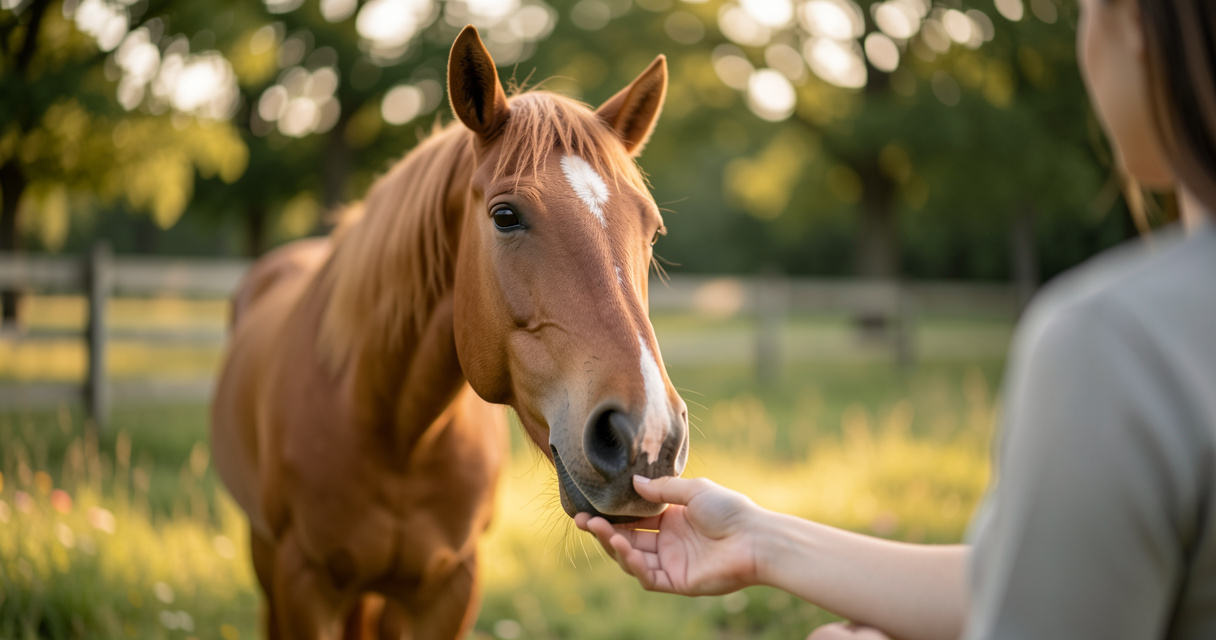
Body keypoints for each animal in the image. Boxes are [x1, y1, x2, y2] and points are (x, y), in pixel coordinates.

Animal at [210, 25, 689, 639]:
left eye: (653, 230)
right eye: (505, 216)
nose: (648, 438)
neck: (400, 435)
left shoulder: (450, 586)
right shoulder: (304, 584)